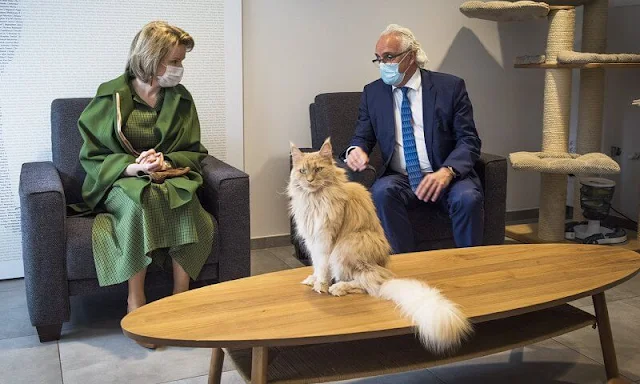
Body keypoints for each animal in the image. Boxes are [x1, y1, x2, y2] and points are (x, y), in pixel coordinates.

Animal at [288, 138, 472, 354]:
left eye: (317, 169)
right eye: (302, 171)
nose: (309, 180)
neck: (313, 199)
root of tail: (387, 277)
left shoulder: (325, 238)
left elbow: (323, 267)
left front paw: (321, 285)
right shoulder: (312, 240)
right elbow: (317, 266)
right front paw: (314, 279)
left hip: (346, 247)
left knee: (368, 284)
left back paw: (338, 288)